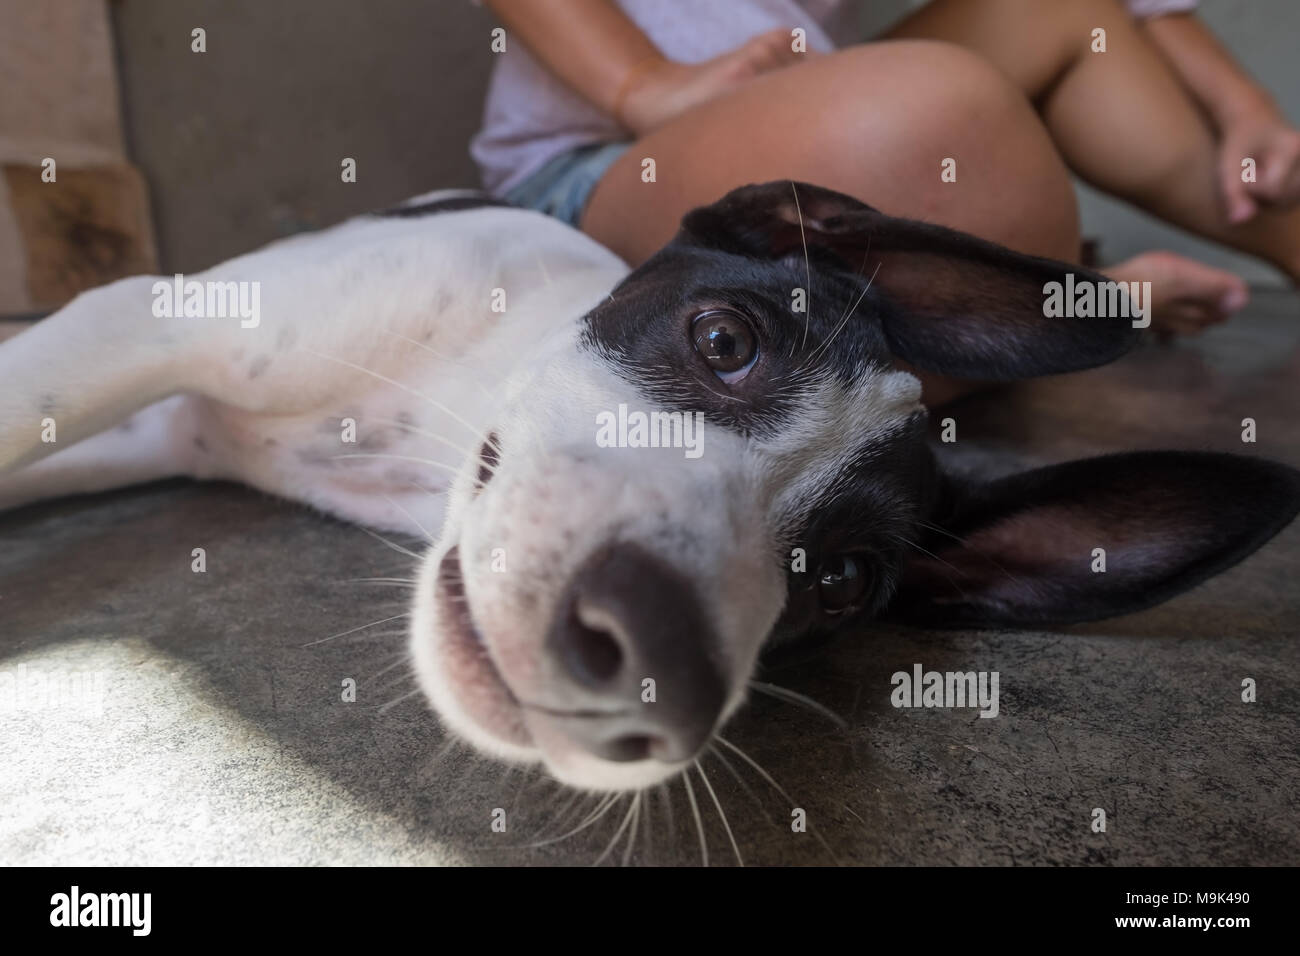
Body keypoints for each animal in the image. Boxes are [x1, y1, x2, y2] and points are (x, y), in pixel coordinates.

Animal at [2, 180, 1300, 790]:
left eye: (841, 579)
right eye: (725, 340)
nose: (649, 677)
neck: (423, 406)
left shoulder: (162, 426)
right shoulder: (143, 334)